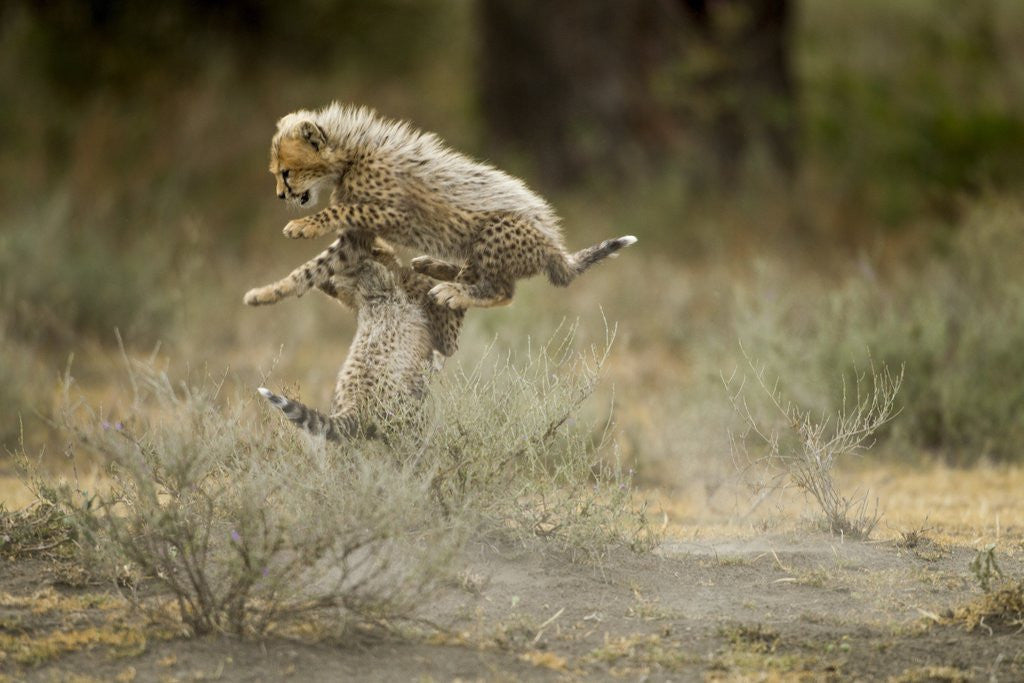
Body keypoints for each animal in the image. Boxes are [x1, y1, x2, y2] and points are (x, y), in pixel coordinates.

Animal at [268, 102, 637, 310]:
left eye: (286, 172)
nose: (280, 196)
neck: (350, 155)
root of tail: (555, 248)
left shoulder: (397, 214)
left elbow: (342, 209)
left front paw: (303, 226)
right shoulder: (356, 239)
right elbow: (313, 268)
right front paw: (271, 292)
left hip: (497, 230)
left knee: (503, 290)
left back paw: (453, 291)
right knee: (471, 272)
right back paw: (432, 266)